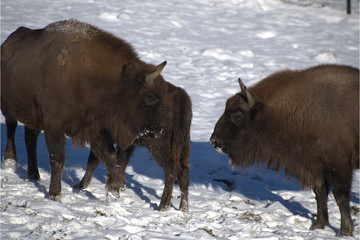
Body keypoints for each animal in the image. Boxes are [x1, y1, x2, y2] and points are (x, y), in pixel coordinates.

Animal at [0, 19, 169, 201]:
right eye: (151, 98)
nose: (158, 129)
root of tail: (7, 44)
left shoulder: (94, 128)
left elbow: (109, 155)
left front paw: (113, 192)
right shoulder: (54, 126)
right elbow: (58, 158)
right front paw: (55, 195)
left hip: (33, 118)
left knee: (30, 139)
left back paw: (34, 176)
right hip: (9, 109)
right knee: (12, 128)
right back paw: (10, 162)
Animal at [72, 83, 191, 211]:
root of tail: (180, 95)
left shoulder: (99, 136)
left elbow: (94, 161)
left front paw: (79, 186)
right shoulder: (124, 144)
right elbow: (120, 161)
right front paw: (121, 186)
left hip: (159, 147)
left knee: (171, 170)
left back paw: (162, 207)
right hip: (182, 148)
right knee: (183, 172)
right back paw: (183, 209)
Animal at [210, 64, 358, 236]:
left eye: (237, 116)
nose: (214, 141)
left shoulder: (339, 167)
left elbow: (341, 198)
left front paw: (345, 232)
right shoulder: (316, 168)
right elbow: (320, 194)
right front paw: (317, 226)